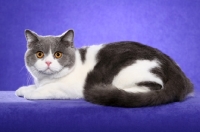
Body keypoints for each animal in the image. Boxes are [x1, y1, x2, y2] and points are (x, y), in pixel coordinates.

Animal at [15, 29, 194, 107]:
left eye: (58, 54)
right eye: (39, 54)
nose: (48, 62)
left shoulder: (70, 88)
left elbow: (48, 89)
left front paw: (32, 92)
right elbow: (36, 86)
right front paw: (24, 89)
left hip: (132, 70)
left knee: (150, 89)